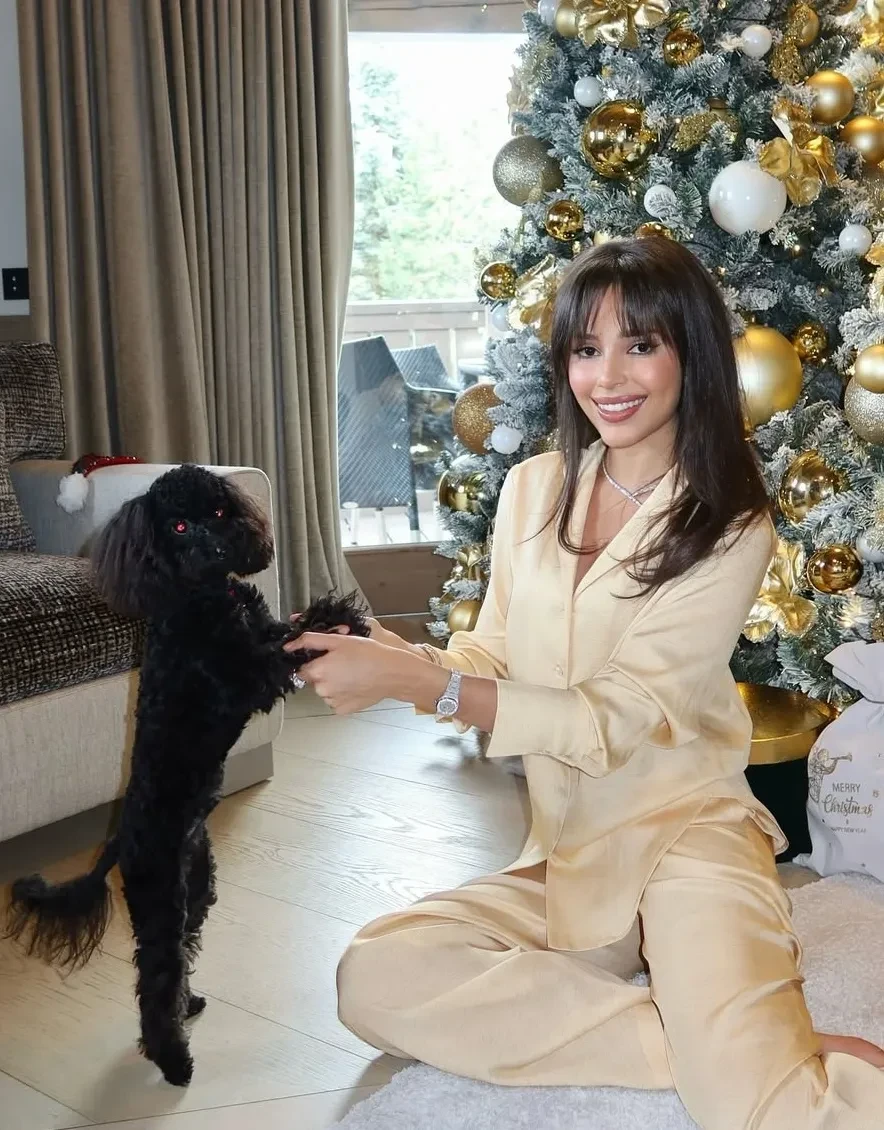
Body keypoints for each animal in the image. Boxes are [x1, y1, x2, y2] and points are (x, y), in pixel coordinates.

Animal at [5, 464, 369, 1086]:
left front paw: (341, 615)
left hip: (198, 884)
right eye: (176, 526)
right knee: (155, 980)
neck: (204, 596)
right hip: (160, 900)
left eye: (220, 512)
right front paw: (339, 623)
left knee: (182, 957)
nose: (216, 545)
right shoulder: (247, 677)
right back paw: (173, 1060)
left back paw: (190, 1005)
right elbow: (285, 652)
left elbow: (291, 626)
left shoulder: (262, 628)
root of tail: (117, 841)